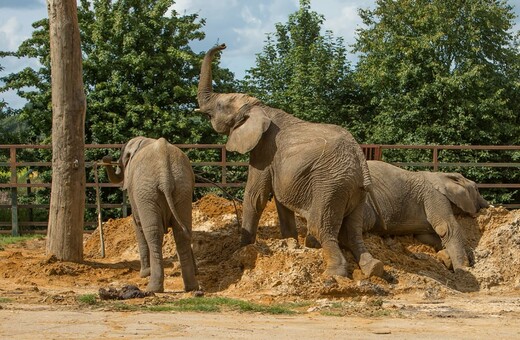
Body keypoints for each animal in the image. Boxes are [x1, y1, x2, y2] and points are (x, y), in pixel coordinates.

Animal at [102, 135, 198, 292]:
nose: (107, 157)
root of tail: (165, 175)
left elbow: (137, 224)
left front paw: (144, 274)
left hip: (146, 193)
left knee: (153, 233)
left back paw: (152, 287)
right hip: (183, 188)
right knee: (182, 232)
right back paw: (192, 287)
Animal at [197, 43, 384, 278]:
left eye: (220, 105)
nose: (223, 45)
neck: (261, 107)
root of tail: (359, 156)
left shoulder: (264, 150)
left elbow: (256, 196)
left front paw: (240, 253)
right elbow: (279, 200)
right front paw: (290, 245)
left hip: (330, 185)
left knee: (320, 226)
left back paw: (334, 274)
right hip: (357, 190)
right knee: (352, 230)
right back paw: (373, 267)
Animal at [302, 161, 490, 272]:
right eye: (477, 189)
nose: (486, 205)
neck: (441, 175)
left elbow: (426, 235)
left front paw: (447, 258)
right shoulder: (433, 196)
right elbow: (446, 228)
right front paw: (463, 269)